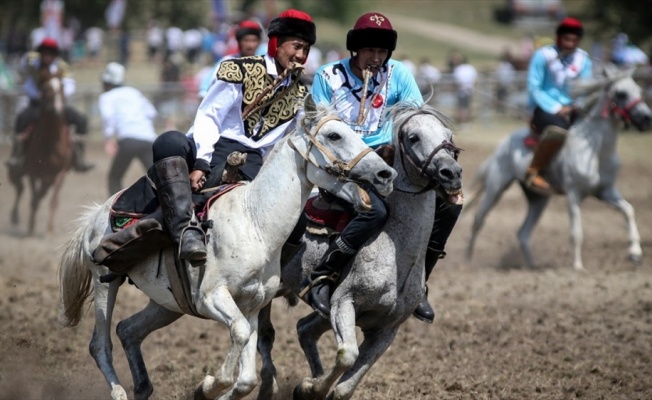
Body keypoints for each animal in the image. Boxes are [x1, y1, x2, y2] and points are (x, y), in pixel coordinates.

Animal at [10, 69, 72, 236]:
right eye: (46, 89)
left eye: (62, 87)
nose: (57, 108)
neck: (50, 142)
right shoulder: (33, 172)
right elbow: (34, 199)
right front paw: (31, 227)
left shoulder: (58, 174)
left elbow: (50, 200)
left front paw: (49, 230)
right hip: (16, 171)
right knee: (19, 189)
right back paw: (15, 217)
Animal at [58, 96, 398, 400]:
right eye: (334, 135)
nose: (385, 173)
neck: (254, 223)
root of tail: (97, 214)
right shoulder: (212, 297)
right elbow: (239, 334)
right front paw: (208, 386)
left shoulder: (252, 304)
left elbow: (246, 375)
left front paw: (213, 388)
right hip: (106, 281)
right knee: (100, 344)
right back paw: (119, 392)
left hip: (167, 303)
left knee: (127, 330)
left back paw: (142, 387)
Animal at [256, 101, 464, 398]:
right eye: (413, 137)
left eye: (448, 135)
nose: (452, 173)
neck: (398, 258)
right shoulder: (344, 303)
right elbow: (347, 355)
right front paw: (311, 388)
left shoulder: (387, 330)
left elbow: (346, 385)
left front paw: (311, 388)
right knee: (266, 335)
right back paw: (268, 384)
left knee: (303, 329)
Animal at [468, 65, 652, 270]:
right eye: (621, 94)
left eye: (639, 90)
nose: (646, 118)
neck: (595, 150)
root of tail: (503, 143)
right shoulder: (573, 193)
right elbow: (576, 232)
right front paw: (578, 266)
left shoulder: (606, 191)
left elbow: (628, 210)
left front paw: (635, 253)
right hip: (496, 186)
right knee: (478, 218)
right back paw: (467, 260)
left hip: (538, 199)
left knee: (523, 233)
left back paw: (533, 266)